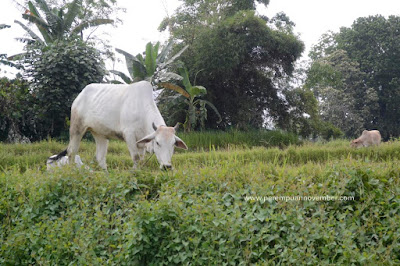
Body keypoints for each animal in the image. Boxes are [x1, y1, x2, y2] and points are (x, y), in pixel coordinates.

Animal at [47, 80, 188, 170]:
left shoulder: (141, 142)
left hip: (100, 134)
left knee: (100, 158)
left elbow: (141, 159)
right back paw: (71, 172)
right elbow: (136, 158)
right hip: (77, 128)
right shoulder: (129, 135)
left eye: (173, 144)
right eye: (157, 143)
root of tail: (79, 96)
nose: (167, 167)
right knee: (71, 151)